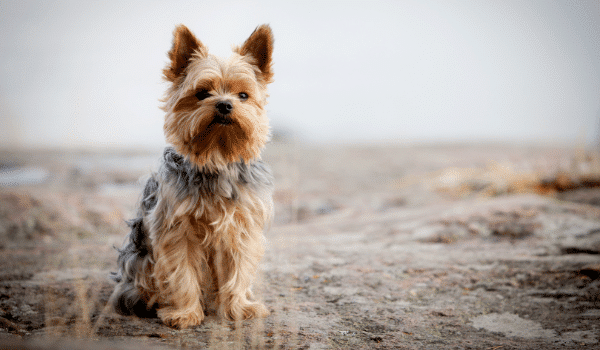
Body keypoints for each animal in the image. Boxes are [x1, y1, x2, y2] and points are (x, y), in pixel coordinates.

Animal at [109, 24, 274, 328]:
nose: (224, 105)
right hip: (139, 259)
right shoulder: (176, 230)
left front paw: (238, 307)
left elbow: (238, 268)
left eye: (243, 96)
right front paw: (185, 313)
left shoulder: (240, 227)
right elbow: (182, 272)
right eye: (202, 93)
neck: (216, 157)